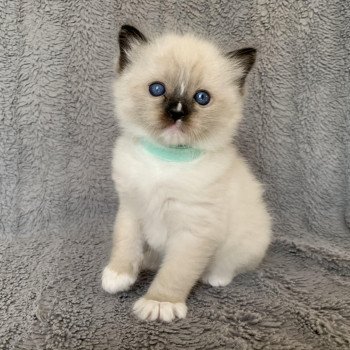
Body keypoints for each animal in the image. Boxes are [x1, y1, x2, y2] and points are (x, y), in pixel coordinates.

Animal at [101, 24, 270, 322]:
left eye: (202, 98)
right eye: (157, 89)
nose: (177, 112)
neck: (166, 160)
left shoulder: (194, 231)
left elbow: (175, 273)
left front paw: (159, 304)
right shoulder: (131, 209)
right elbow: (124, 244)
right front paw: (118, 276)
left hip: (248, 240)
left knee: (230, 265)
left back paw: (215, 278)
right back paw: (146, 262)